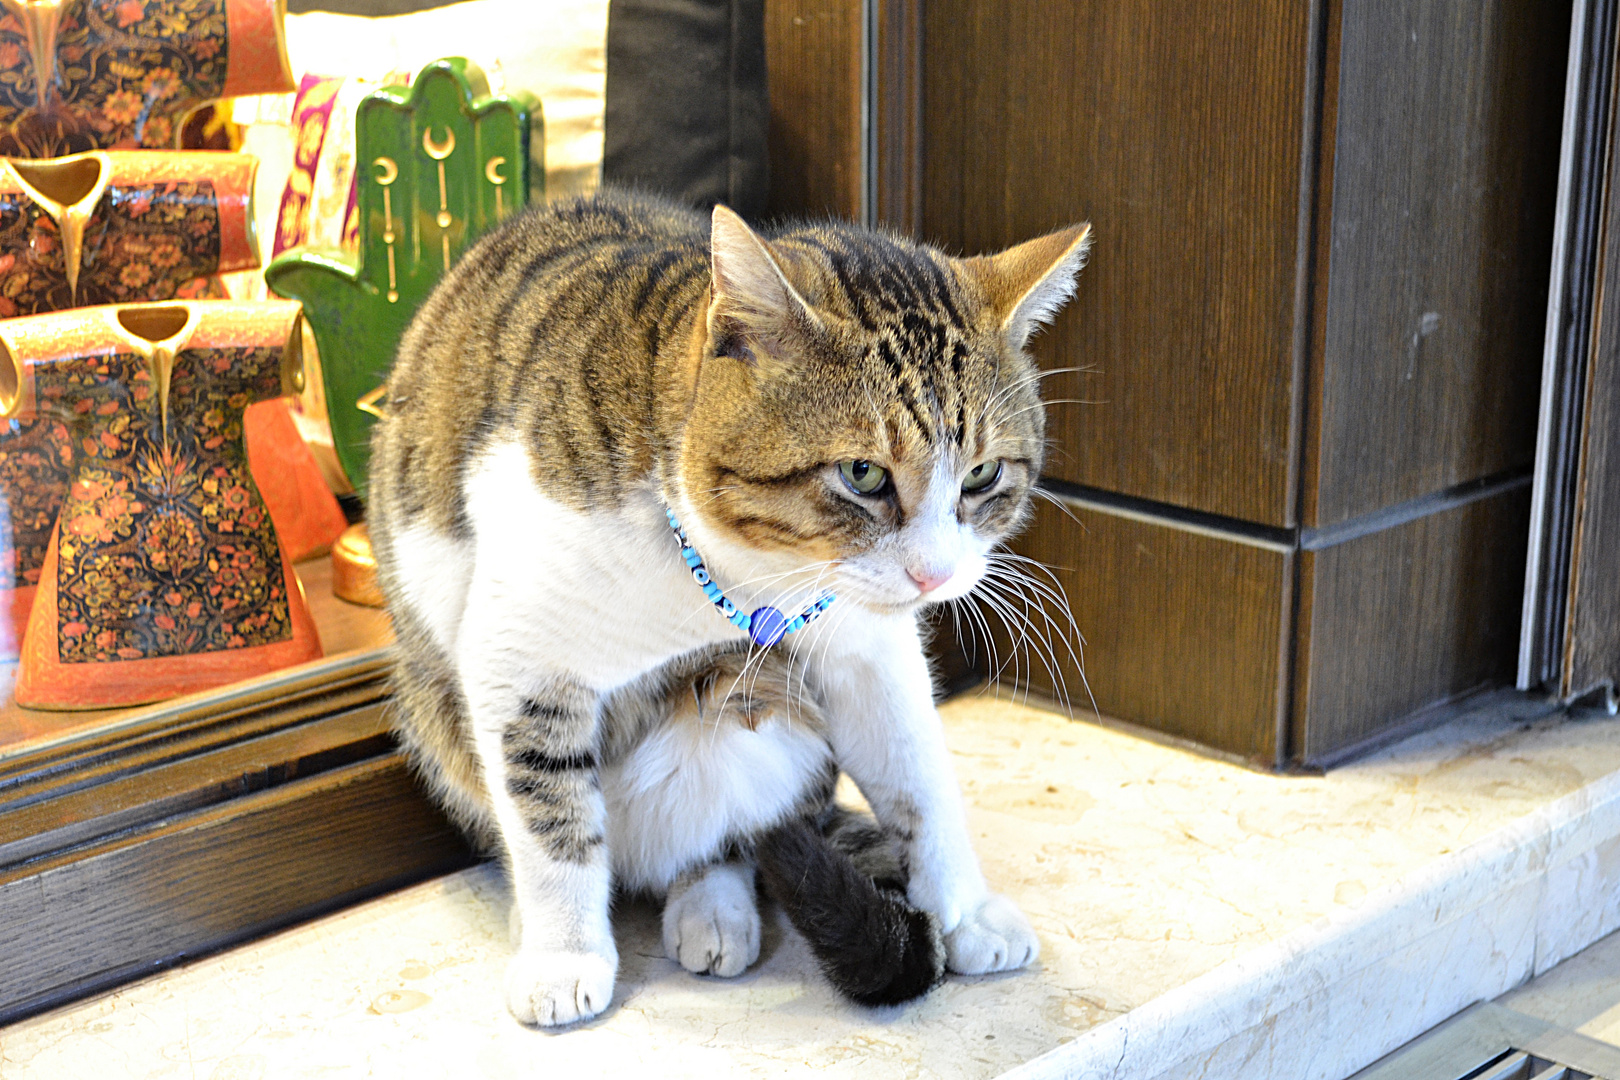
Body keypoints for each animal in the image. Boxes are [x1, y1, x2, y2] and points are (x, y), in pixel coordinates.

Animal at [367, 190, 1088, 1029]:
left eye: (980, 476)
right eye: (863, 473)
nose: (934, 576)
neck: (744, 580)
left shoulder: (866, 648)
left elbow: (919, 779)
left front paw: (966, 912)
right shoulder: (520, 657)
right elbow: (550, 822)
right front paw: (563, 956)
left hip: (756, 720)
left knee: (736, 829)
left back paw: (713, 908)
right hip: (432, 713)